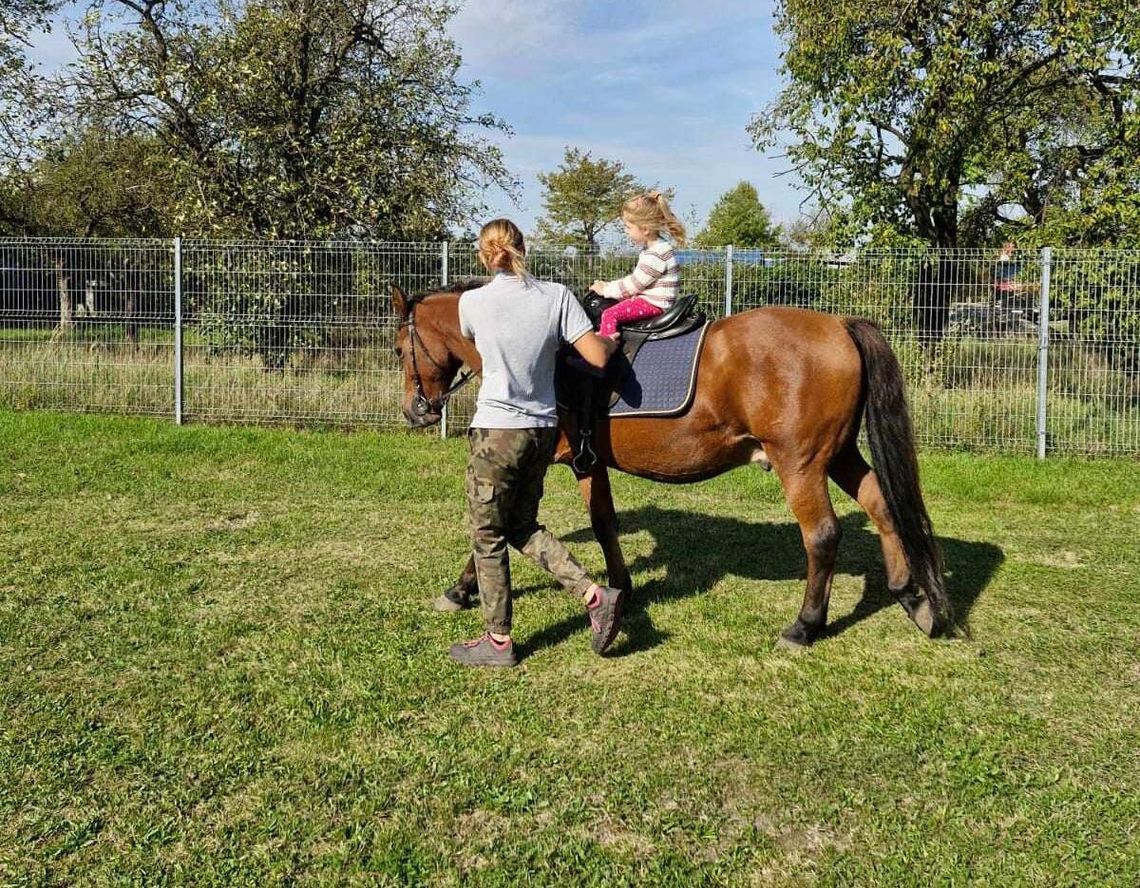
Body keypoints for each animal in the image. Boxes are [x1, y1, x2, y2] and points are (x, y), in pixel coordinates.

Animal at [394, 282, 953, 647]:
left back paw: (805, 625)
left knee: (822, 535)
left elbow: (497, 525)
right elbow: (603, 523)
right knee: (882, 506)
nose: (414, 411)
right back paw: (912, 597)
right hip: (837, 455)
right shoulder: (587, 464)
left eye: (401, 349)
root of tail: (839, 325)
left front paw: (459, 589)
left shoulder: (545, 461)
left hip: (801, 463)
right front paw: (622, 589)